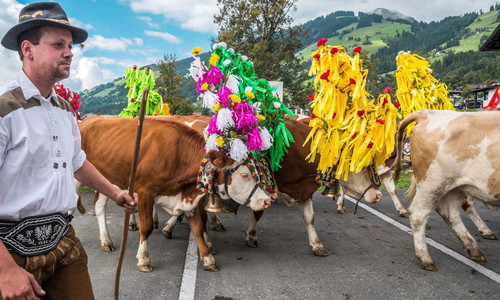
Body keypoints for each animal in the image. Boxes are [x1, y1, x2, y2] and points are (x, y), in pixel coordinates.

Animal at [78, 115, 274, 272]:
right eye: (244, 175)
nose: (266, 201)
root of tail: (89, 119)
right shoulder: (145, 192)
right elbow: (146, 227)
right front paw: (143, 259)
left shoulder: (188, 198)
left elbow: (198, 228)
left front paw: (208, 258)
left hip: (108, 180)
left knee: (99, 205)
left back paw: (106, 241)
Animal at [394, 109, 500, 270]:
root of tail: (428, 113)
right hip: (432, 184)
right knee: (419, 214)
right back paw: (426, 258)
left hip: (455, 186)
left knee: (451, 213)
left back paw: (474, 249)